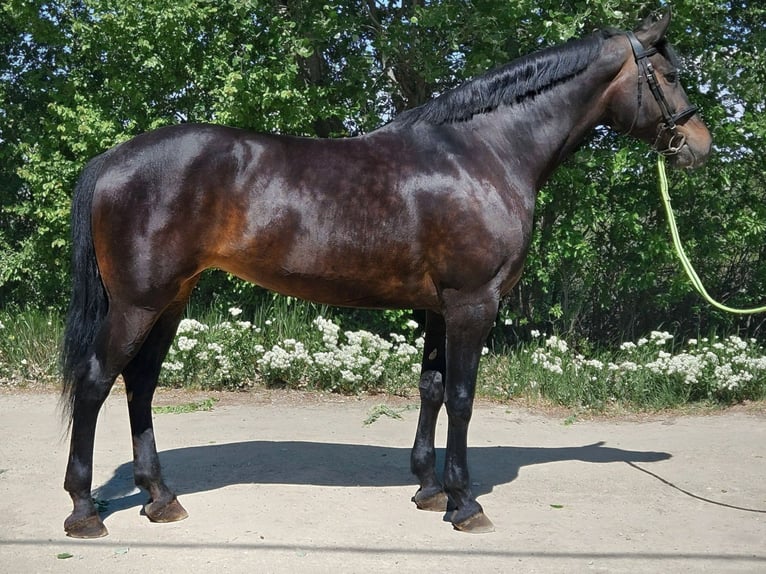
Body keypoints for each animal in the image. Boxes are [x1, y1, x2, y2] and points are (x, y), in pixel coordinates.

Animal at [60, 11, 711, 538]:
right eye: (668, 74)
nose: (700, 146)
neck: (485, 152)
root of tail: (113, 159)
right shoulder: (474, 303)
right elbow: (462, 397)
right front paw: (465, 503)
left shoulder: (439, 307)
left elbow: (431, 388)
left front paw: (429, 489)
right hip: (138, 303)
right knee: (96, 383)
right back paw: (85, 511)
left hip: (171, 300)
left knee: (140, 385)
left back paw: (160, 498)